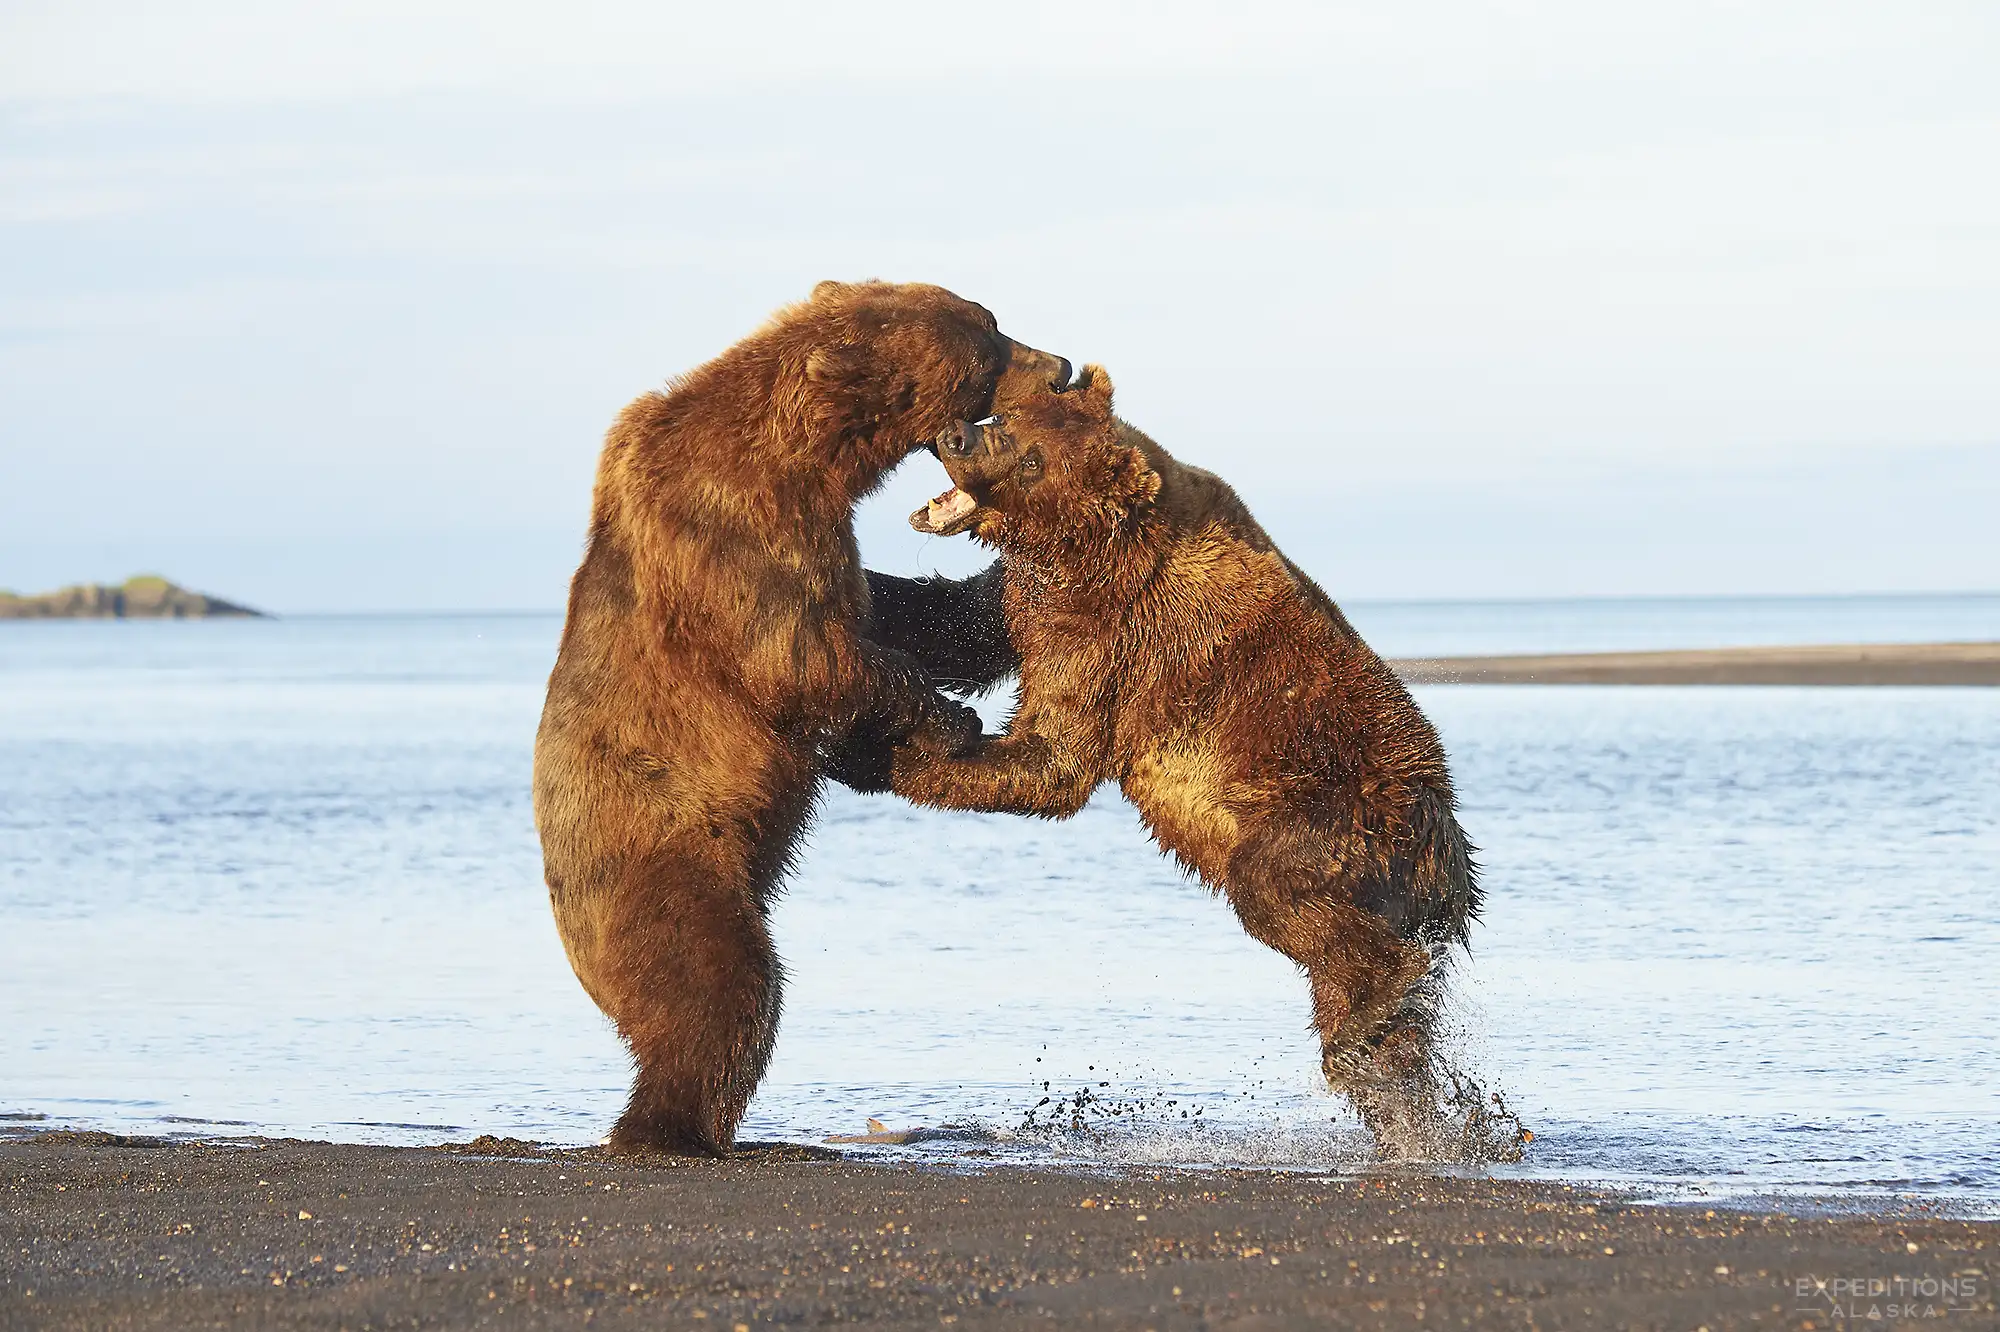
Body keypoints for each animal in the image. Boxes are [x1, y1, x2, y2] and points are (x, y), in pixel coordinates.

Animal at [534, 280, 1068, 1156]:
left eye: (992, 322)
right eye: (988, 345)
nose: (1059, 365)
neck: (810, 453)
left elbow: (887, 610)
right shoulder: (728, 527)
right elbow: (800, 655)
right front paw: (949, 717)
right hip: (662, 859)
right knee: (721, 985)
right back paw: (671, 1128)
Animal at [898, 367, 1488, 1157]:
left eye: (1031, 459)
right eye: (1008, 414)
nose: (954, 435)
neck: (1081, 544)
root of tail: (1447, 854)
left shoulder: (1115, 629)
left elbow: (1054, 758)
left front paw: (885, 749)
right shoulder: (1028, 594)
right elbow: (957, 621)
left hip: (1332, 814)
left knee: (1281, 896)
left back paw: (1373, 1024)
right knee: (1381, 1025)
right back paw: (1413, 1106)